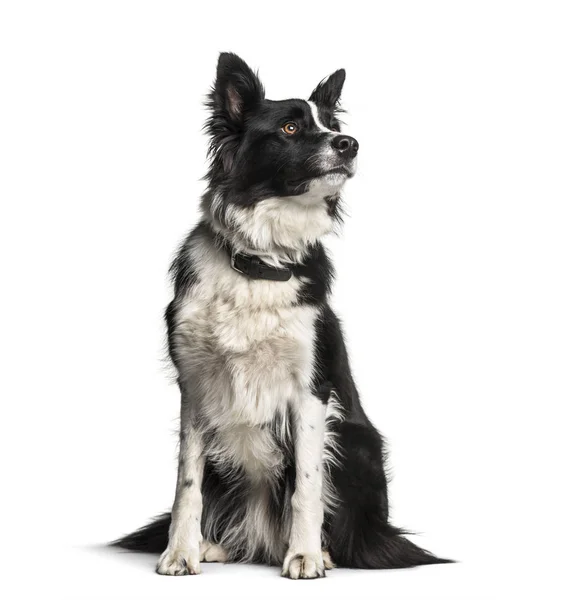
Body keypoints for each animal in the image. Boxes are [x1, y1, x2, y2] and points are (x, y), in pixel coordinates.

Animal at [114, 54, 452, 580]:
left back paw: (321, 550)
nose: (350, 144)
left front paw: (306, 556)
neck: (259, 262)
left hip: (355, 440)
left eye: (333, 126)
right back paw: (218, 545)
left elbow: (305, 485)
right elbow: (187, 483)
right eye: (291, 128)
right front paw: (180, 553)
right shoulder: (195, 386)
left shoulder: (310, 390)